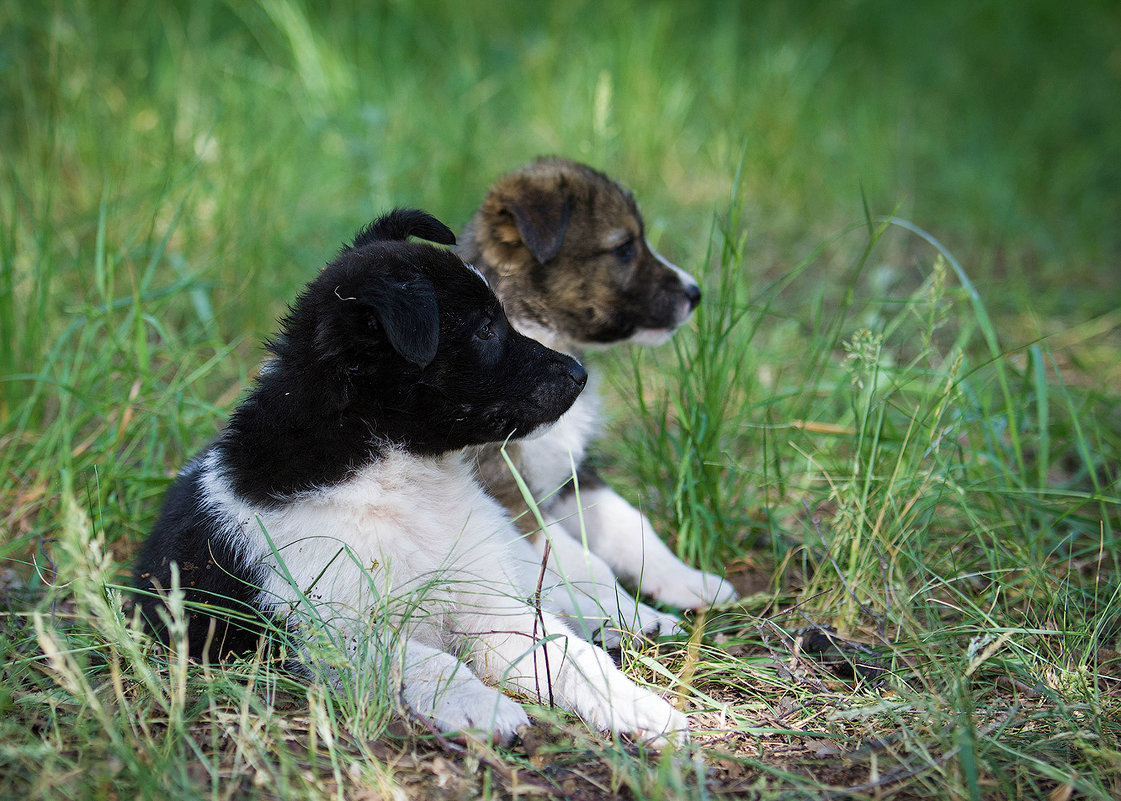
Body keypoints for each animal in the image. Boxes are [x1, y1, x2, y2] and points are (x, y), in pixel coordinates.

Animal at [135, 208, 686, 743]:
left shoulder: (489, 600)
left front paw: (642, 708)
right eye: (486, 329)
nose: (579, 374)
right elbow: (425, 659)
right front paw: (484, 708)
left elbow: (570, 655)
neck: (399, 475)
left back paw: (641, 617)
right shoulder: (332, 628)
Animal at [459, 160, 739, 640]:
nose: (695, 293)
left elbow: (633, 526)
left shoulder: (572, 477)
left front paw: (687, 580)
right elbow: (586, 566)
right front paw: (635, 616)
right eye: (624, 248)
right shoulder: (510, 499)